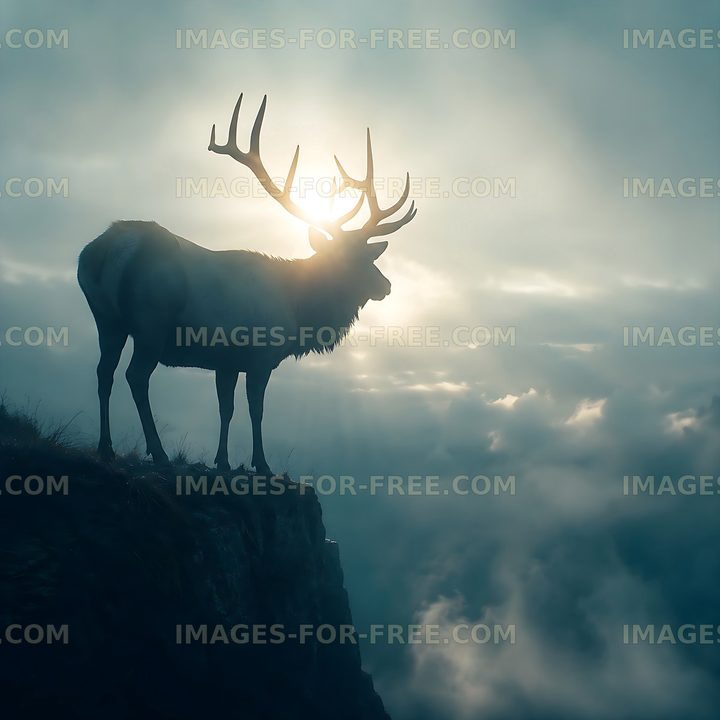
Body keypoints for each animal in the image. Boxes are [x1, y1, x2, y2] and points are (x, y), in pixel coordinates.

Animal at [77, 93, 417, 476]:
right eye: (355, 260)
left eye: (369, 256)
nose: (385, 286)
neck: (299, 310)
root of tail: (107, 248)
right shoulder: (261, 354)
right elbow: (256, 409)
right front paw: (262, 464)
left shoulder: (225, 361)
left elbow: (226, 409)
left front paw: (223, 461)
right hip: (152, 320)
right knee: (135, 376)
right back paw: (159, 452)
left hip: (106, 318)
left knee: (104, 371)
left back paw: (105, 448)